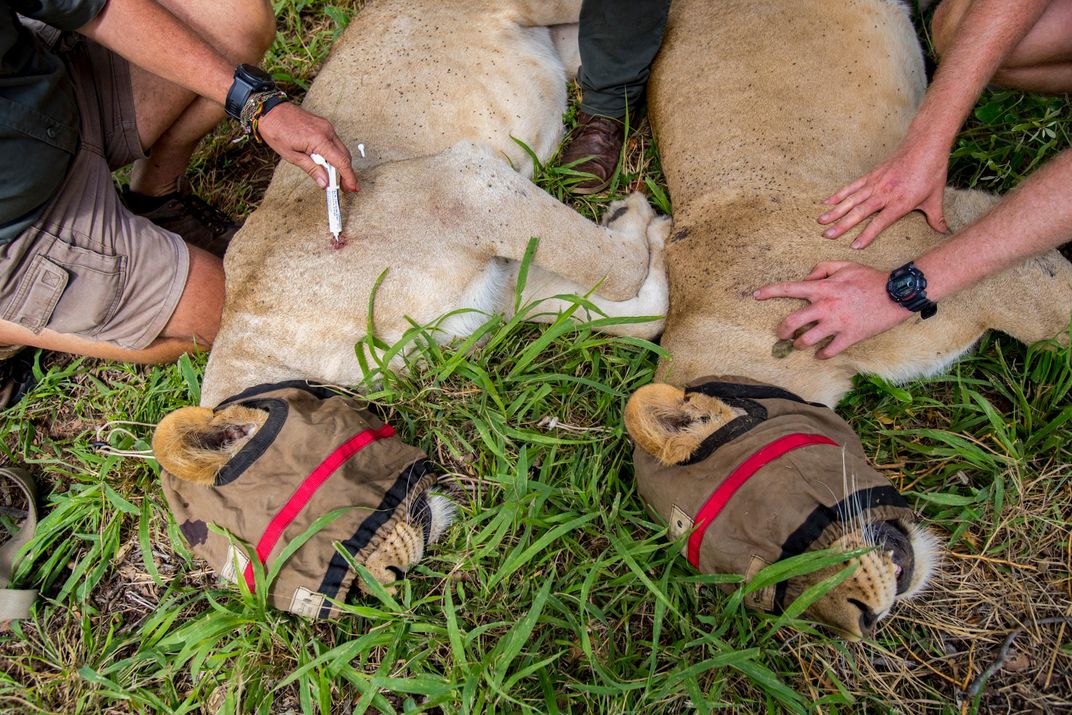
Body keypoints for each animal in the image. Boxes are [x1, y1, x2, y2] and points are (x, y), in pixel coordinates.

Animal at [199, 0, 668, 407]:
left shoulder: (464, 185)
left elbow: (620, 269)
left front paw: (637, 216)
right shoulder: (494, 294)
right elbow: (636, 311)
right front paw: (651, 239)